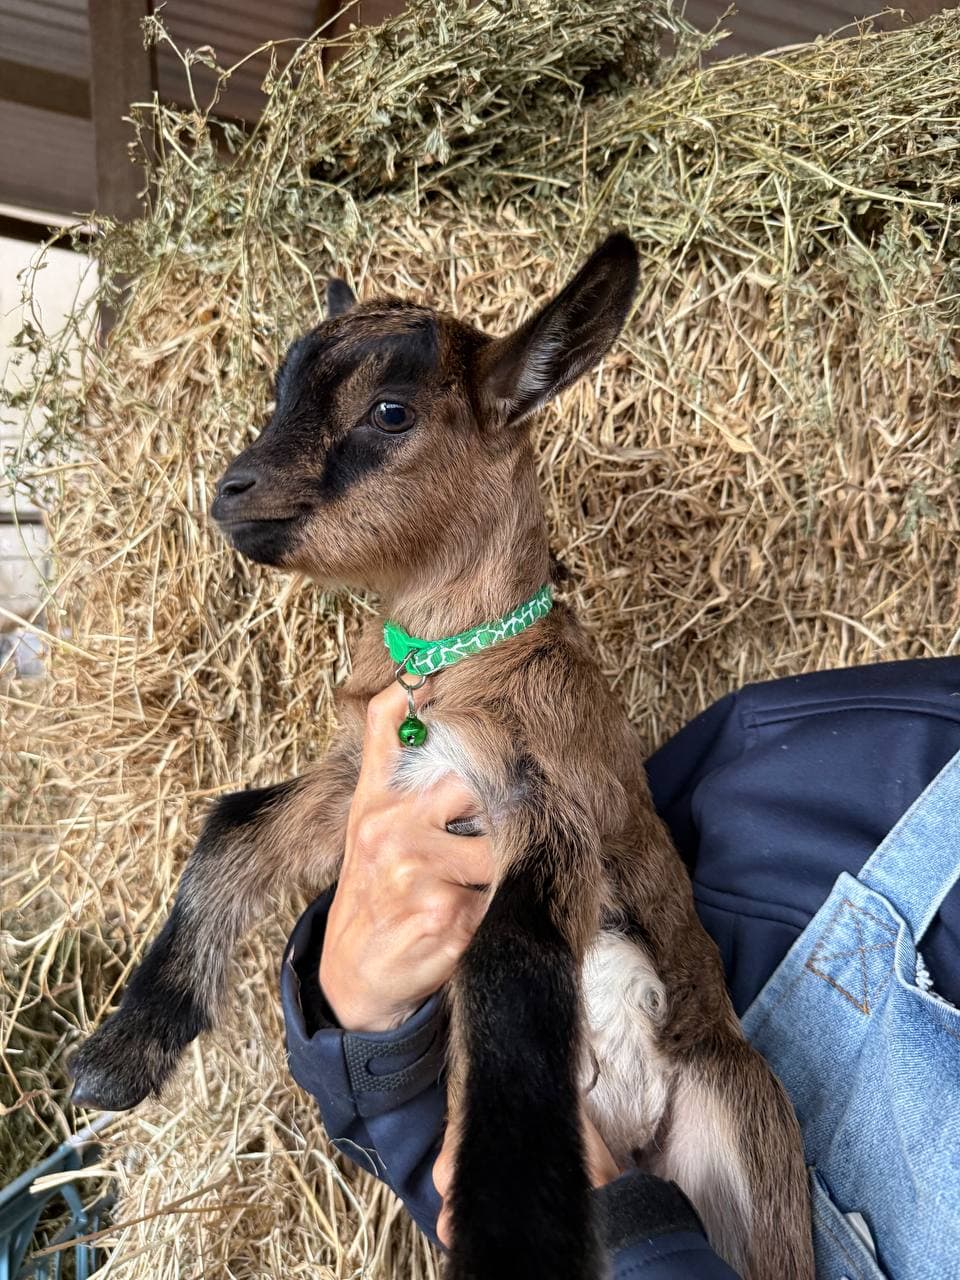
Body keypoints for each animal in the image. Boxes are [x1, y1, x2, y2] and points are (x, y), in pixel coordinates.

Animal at [70, 234, 814, 1280]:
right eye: (278, 394)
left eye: (390, 411)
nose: (230, 492)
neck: (452, 668)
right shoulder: (358, 781)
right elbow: (230, 830)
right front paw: (120, 1055)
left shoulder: (547, 815)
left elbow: (508, 974)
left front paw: (510, 1238)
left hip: (748, 1146)